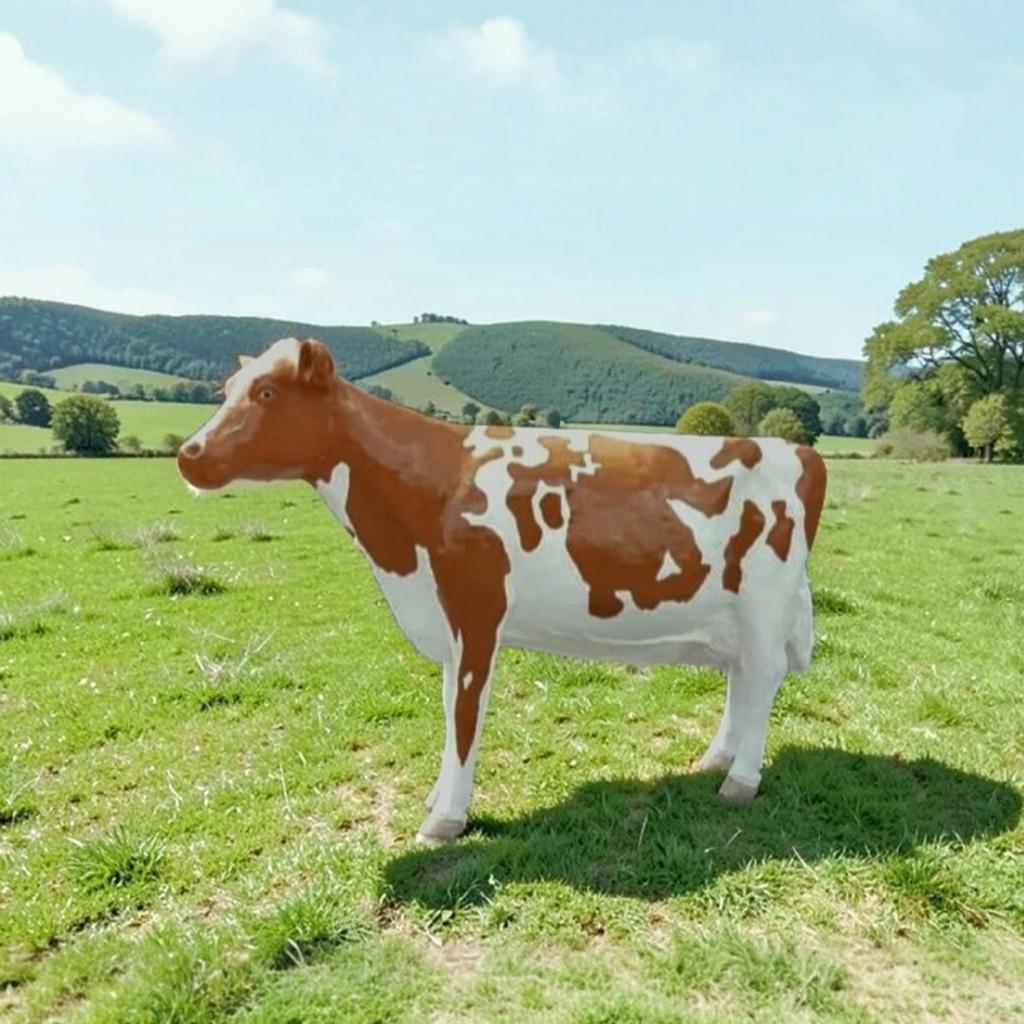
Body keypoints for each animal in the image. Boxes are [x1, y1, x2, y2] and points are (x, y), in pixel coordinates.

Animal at [177, 337, 827, 844]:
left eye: (267, 393)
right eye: (227, 389)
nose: (188, 454)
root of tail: (793, 448)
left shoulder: (476, 612)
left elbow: (465, 715)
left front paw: (446, 819)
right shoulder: (445, 622)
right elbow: (447, 710)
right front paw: (437, 797)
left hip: (765, 602)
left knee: (762, 677)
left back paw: (740, 779)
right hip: (737, 611)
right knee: (742, 678)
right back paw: (715, 758)